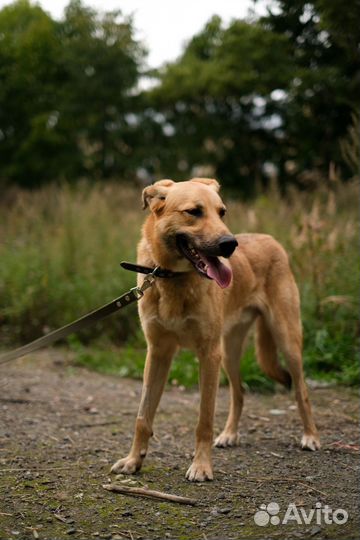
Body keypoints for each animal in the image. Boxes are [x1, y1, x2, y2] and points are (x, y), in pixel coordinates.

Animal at [110, 179, 320, 484]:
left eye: (222, 212)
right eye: (193, 212)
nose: (229, 244)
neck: (173, 278)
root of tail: (270, 239)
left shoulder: (208, 354)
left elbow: (204, 419)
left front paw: (201, 467)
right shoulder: (158, 353)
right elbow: (142, 417)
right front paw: (133, 461)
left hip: (286, 340)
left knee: (301, 390)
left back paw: (311, 436)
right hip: (229, 353)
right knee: (239, 391)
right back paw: (230, 434)